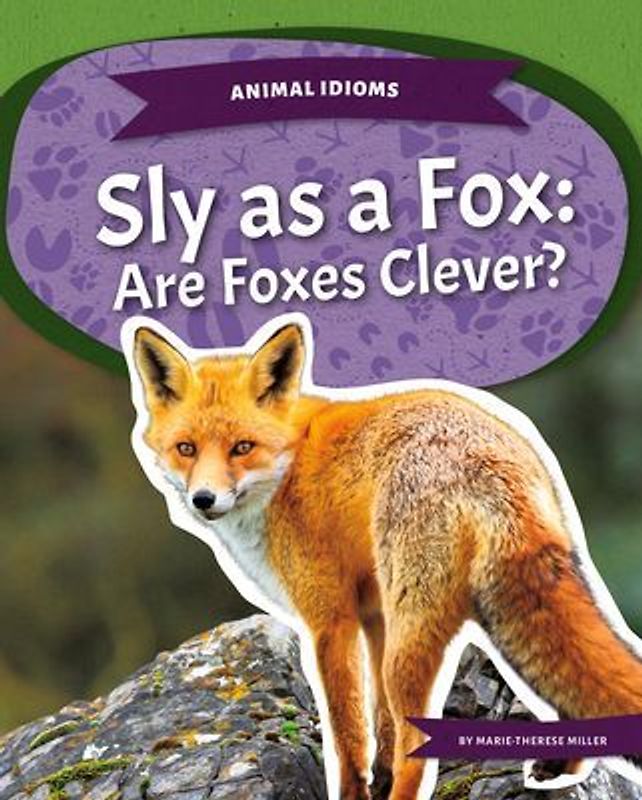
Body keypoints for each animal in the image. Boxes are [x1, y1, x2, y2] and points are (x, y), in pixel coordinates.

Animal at [123, 313, 642, 800]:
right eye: (186, 449)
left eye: (242, 448)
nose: (203, 500)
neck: (289, 466)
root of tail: (494, 462)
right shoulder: (374, 614)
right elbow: (381, 724)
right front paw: (379, 776)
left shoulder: (330, 620)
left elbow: (349, 729)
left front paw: (356, 790)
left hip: (409, 644)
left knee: (420, 749)